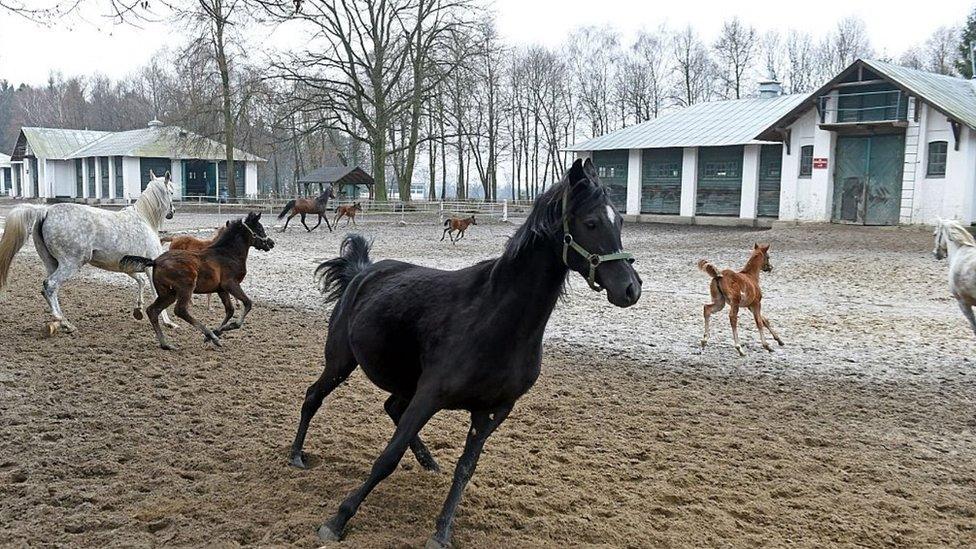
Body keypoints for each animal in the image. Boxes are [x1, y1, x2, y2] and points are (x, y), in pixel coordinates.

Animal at [0, 171, 179, 334]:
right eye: (171, 191)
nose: (172, 212)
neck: (144, 220)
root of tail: (45, 212)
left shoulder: (129, 267)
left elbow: (141, 282)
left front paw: (138, 310)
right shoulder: (150, 266)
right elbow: (156, 292)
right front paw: (169, 322)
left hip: (51, 263)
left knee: (48, 290)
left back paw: (60, 323)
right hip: (70, 264)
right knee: (50, 285)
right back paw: (63, 322)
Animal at [122, 212, 276, 348]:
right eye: (260, 228)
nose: (271, 243)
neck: (228, 254)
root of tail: (155, 261)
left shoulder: (221, 289)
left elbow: (230, 310)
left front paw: (217, 332)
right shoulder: (231, 284)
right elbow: (247, 303)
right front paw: (226, 329)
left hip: (168, 293)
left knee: (153, 310)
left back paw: (166, 344)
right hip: (186, 287)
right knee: (180, 310)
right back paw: (208, 335)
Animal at [286, 158, 644, 548]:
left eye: (619, 221)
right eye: (591, 222)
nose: (630, 288)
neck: (494, 318)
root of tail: (362, 272)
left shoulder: (493, 410)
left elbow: (465, 468)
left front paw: (442, 531)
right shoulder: (431, 394)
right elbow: (387, 458)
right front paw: (338, 520)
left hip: (402, 380)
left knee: (392, 407)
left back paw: (428, 462)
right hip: (340, 361)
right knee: (313, 397)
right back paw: (296, 455)